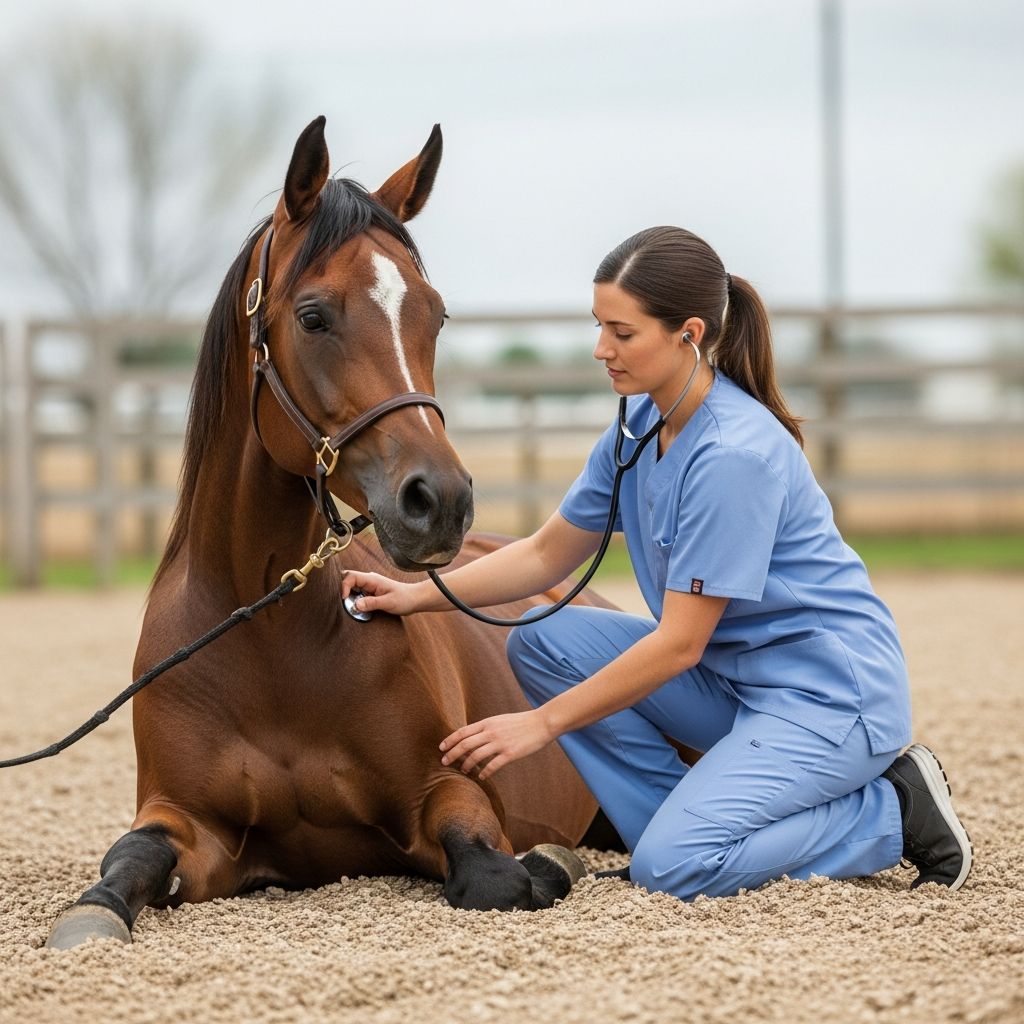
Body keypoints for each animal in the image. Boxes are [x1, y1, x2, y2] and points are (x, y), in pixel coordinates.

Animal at [46, 117, 621, 949]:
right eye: (314, 315)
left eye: (434, 315)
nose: (440, 501)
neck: (265, 634)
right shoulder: (187, 823)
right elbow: (129, 859)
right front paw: (93, 911)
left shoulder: (444, 792)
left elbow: (497, 874)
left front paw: (549, 862)